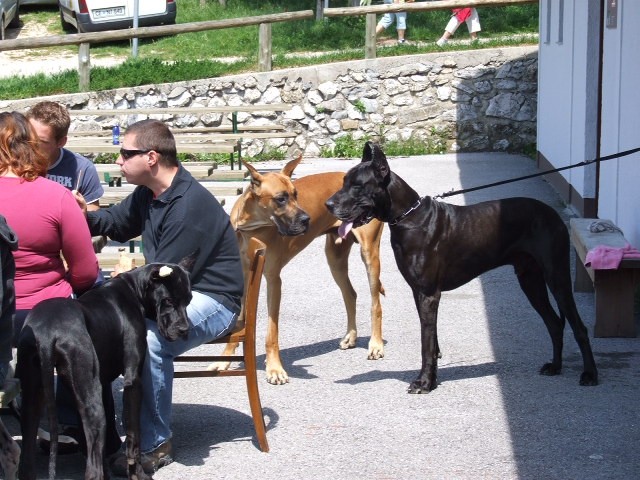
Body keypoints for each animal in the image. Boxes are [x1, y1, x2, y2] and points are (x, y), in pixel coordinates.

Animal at [16, 258, 192, 480]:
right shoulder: (133, 381)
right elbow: (134, 435)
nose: (184, 330)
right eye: (168, 301)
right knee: (93, 469)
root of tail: (46, 333)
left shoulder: (99, 383)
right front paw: (138, 474)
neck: (133, 289)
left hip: (33, 396)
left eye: (189, 300)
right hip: (93, 406)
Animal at [212, 158, 388, 386]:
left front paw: (275, 369)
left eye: (296, 194)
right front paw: (225, 359)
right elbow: (240, 321)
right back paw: (350, 336)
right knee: (350, 294)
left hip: (369, 253)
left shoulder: (273, 279)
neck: (250, 226)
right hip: (335, 257)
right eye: (280, 199)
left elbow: (272, 331)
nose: (307, 219)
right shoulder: (244, 276)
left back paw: (376, 345)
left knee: (376, 304)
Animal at [324, 142, 600, 394]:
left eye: (357, 185)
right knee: (554, 323)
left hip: (557, 276)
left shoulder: (428, 294)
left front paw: (424, 383)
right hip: (529, 279)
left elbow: (426, 343)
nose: (327, 204)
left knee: (579, 326)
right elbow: (432, 340)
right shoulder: (419, 293)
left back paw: (589, 374)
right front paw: (433, 378)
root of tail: (553, 214)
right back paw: (555, 366)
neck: (409, 217)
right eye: (343, 181)